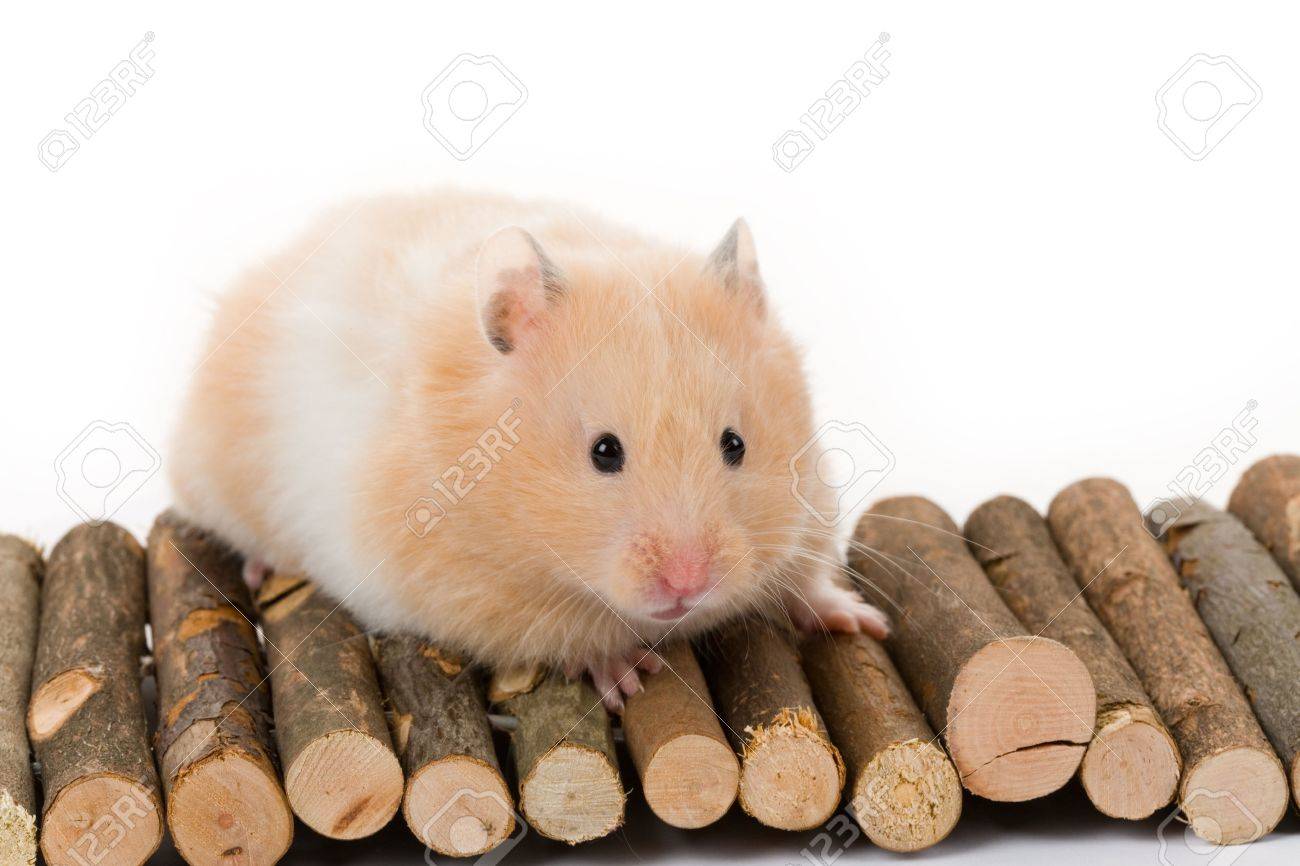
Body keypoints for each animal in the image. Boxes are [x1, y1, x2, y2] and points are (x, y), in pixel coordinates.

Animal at [170, 190, 888, 709]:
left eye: (735, 444)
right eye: (604, 451)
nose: (688, 584)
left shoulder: (811, 505)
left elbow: (805, 578)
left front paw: (862, 619)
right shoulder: (461, 585)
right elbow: (565, 632)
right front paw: (628, 674)